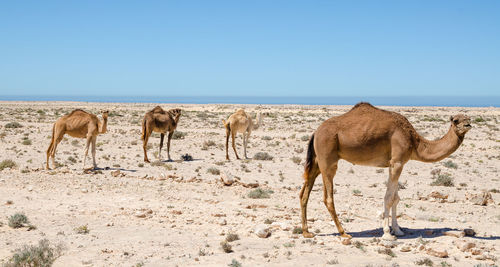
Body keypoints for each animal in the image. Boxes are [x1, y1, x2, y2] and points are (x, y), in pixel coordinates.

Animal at [300, 102, 472, 241]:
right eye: (456, 121)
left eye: (468, 118)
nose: (468, 125)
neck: (414, 141)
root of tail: (315, 132)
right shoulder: (396, 162)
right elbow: (389, 198)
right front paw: (387, 233)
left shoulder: (397, 163)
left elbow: (396, 198)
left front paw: (398, 230)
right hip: (328, 160)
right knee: (328, 198)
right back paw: (343, 232)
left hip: (317, 162)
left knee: (304, 193)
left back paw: (306, 232)